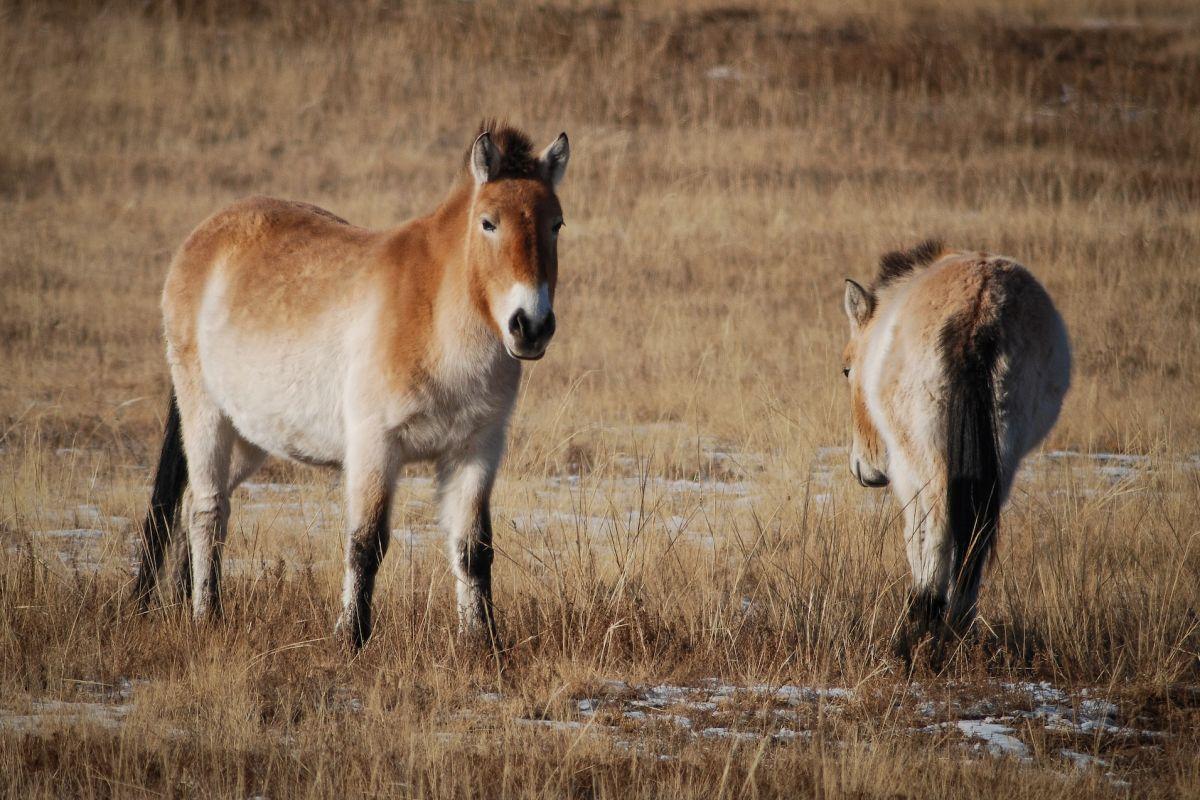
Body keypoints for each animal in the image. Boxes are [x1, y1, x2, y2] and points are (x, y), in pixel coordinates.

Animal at [133, 123, 573, 652]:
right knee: (207, 512)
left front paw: (483, 644)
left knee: (188, 511)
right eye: (488, 223)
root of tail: (203, 236)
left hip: (248, 437)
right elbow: (366, 543)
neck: (434, 314)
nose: (531, 326)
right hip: (205, 415)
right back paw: (206, 617)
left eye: (556, 224)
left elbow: (473, 549)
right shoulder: (374, 446)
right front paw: (352, 639)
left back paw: (182, 607)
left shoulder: (476, 449)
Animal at [844, 242, 1070, 657]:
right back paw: (958, 628)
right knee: (977, 537)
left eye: (846, 370)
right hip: (1004, 456)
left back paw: (921, 627)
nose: (865, 470)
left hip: (927, 458)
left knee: (937, 528)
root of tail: (979, 309)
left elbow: (914, 535)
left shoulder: (906, 471)